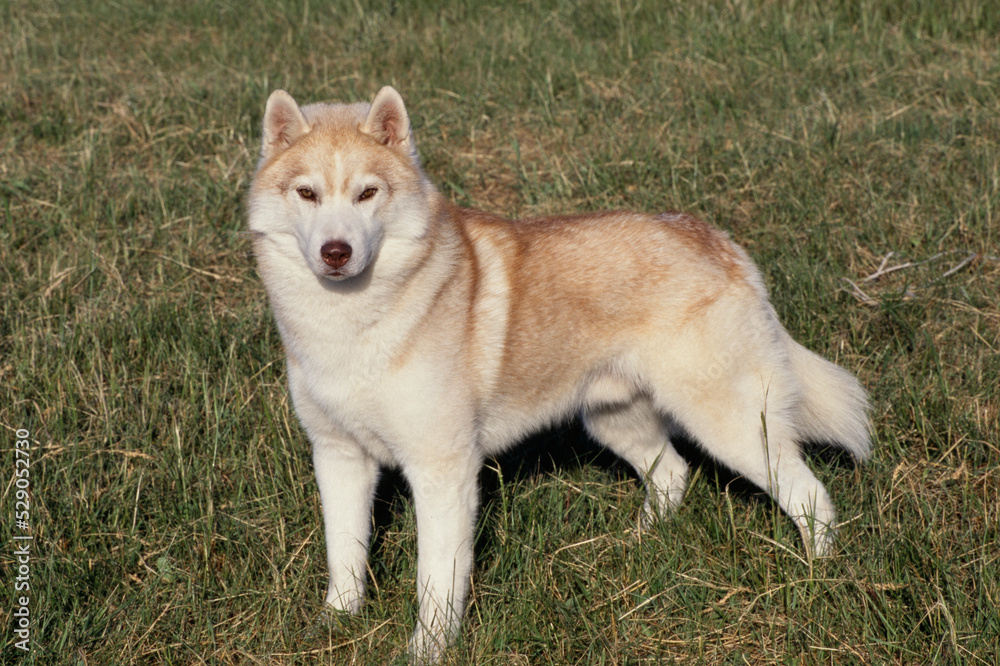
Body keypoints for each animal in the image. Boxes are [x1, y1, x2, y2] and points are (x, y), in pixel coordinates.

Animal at [246, 87, 872, 660]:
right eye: (306, 192)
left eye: (368, 192)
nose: (335, 251)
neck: (352, 326)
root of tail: (716, 240)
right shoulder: (338, 455)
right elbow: (344, 554)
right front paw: (334, 626)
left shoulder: (442, 469)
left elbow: (437, 579)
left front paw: (429, 648)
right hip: (614, 417)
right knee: (671, 475)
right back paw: (633, 546)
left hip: (732, 426)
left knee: (808, 494)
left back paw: (818, 578)